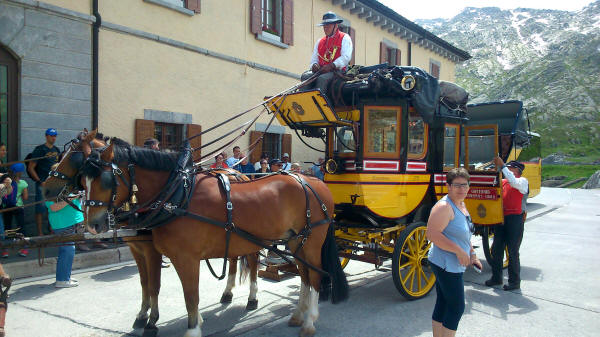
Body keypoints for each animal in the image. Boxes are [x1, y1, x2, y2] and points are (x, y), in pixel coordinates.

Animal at [43, 131, 264, 336]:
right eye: (83, 175)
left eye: (73, 157)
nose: (46, 189)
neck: (170, 193)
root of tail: (239, 173)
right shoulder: (137, 248)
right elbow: (144, 283)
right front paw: (142, 315)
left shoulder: (152, 251)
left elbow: (154, 285)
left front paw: (152, 321)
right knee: (234, 258)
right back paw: (227, 292)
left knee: (253, 261)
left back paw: (252, 297)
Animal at [81, 138, 350, 334]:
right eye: (83, 180)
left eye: (106, 179)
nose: (93, 225)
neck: (179, 195)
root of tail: (314, 181)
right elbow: (155, 287)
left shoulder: (184, 258)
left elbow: (189, 295)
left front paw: (191, 330)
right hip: (296, 241)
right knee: (304, 276)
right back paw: (297, 315)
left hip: (312, 240)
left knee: (314, 275)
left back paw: (309, 322)